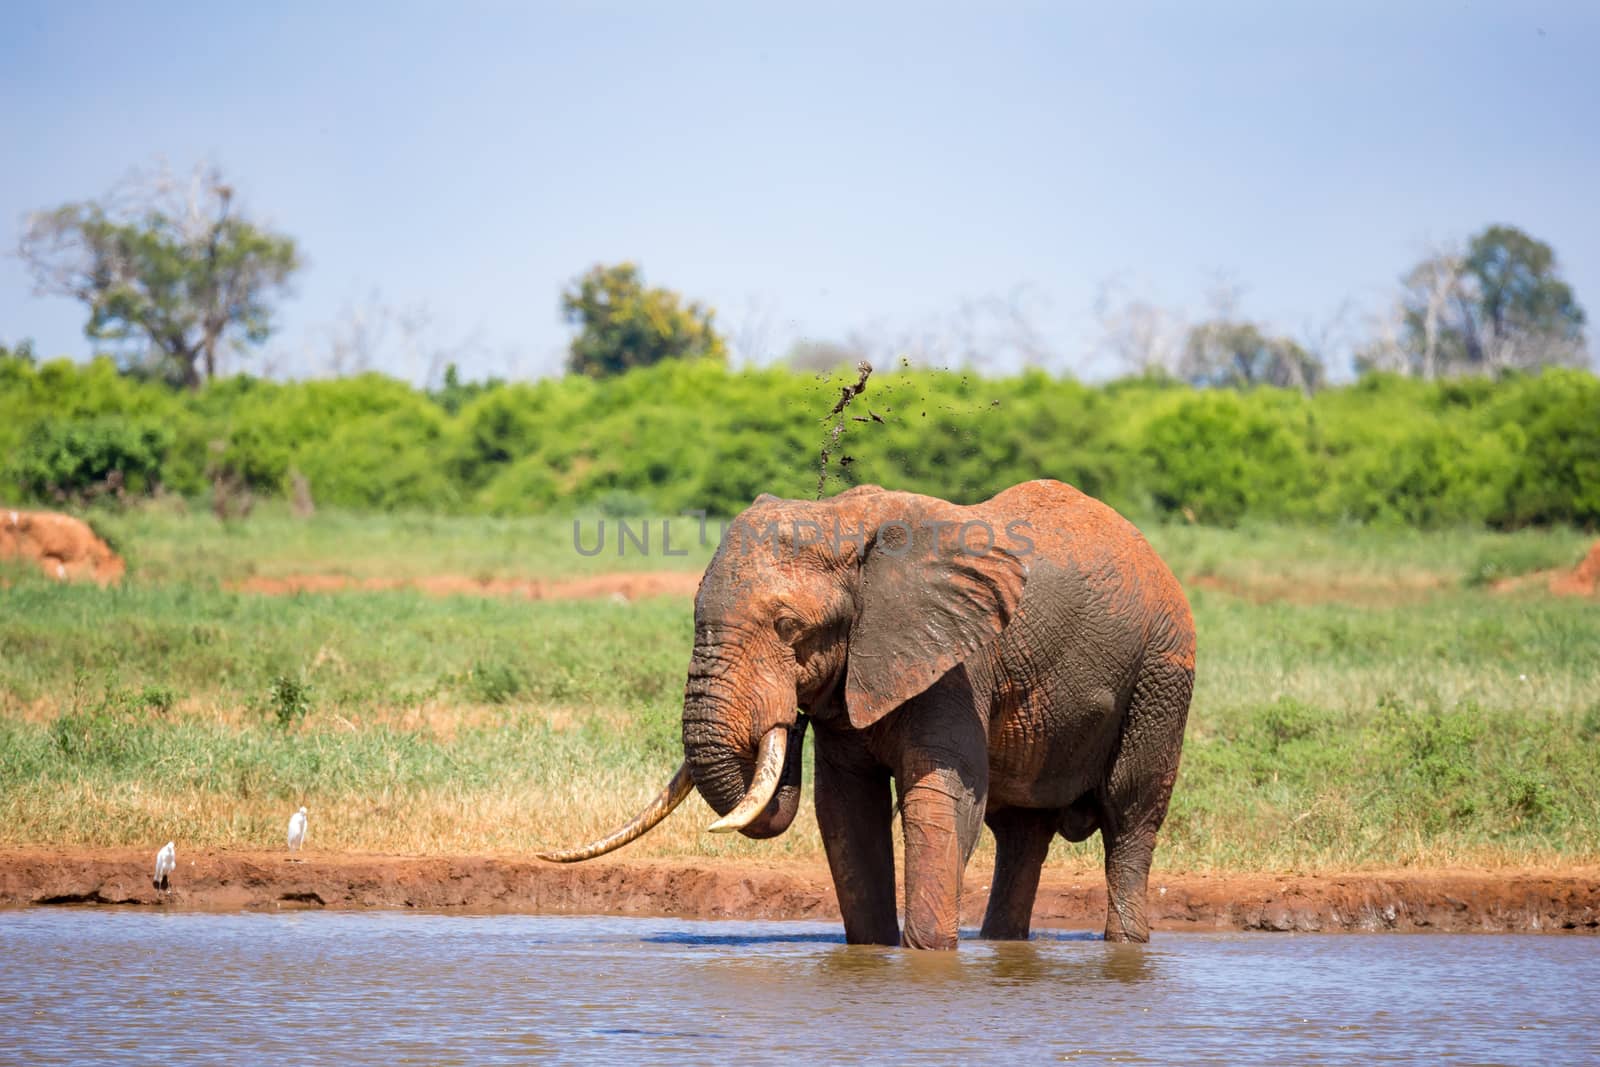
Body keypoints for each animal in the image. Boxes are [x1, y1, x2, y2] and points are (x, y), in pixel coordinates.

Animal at [544, 479, 1196, 947]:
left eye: (789, 627)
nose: (787, 716)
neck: (846, 521)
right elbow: (846, 809)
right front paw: (872, 956)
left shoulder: (956, 660)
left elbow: (942, 799)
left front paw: (927, 959)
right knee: (1022, 834)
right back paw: (1003, 945)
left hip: (1161, 676)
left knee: (1131, 816)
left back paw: (1125, 945)